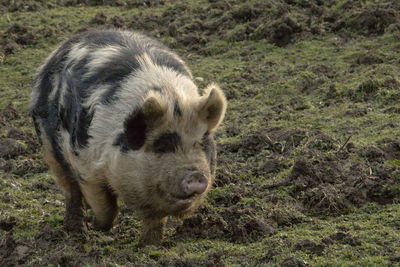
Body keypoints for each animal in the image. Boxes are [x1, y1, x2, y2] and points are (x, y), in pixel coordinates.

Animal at [29, 29, 227, 247]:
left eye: (201, 143)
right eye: (161, 145)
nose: (196, 175)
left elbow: (155, 219)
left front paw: (149, 246)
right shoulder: (85, 164)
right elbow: (103, 205)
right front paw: (97, 224)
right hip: (48, 144)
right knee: (70, 189)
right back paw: (77, 233)